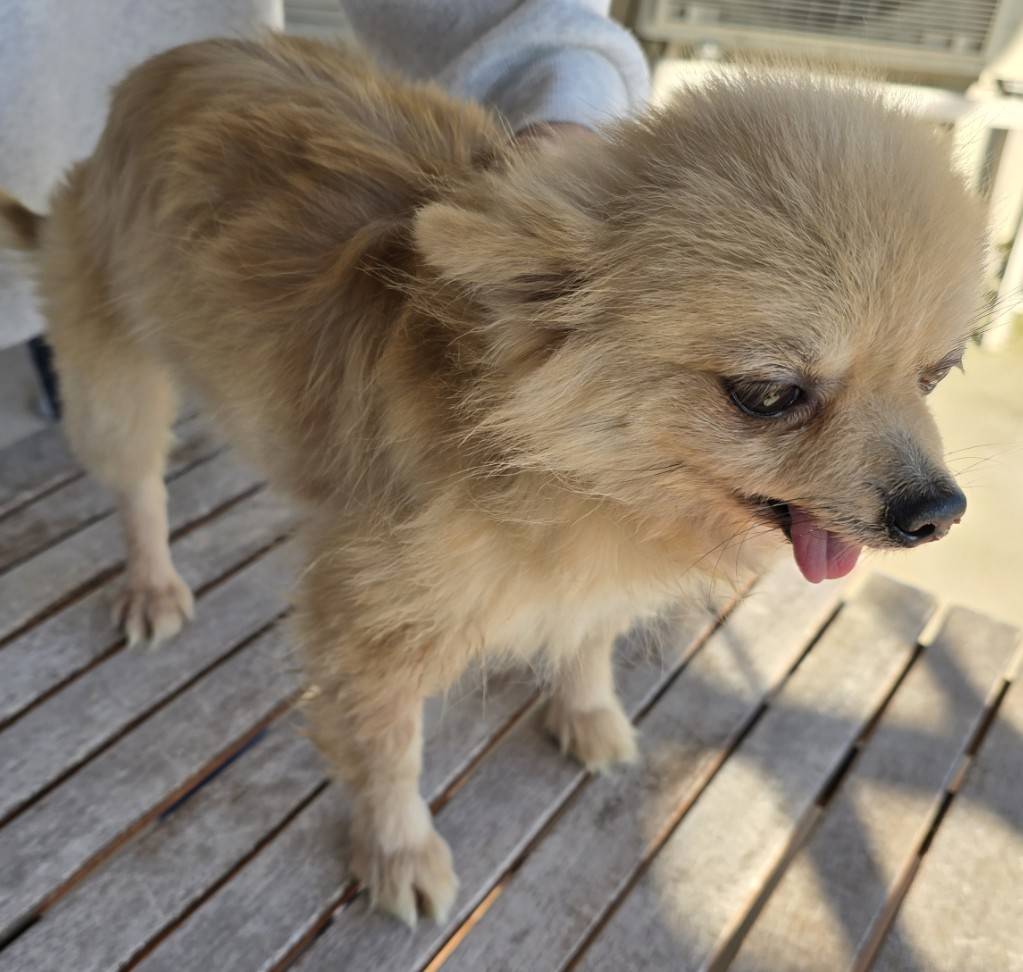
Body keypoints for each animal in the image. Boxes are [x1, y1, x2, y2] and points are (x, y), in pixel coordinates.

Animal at [1, 35, 986, 925]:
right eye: (771, 395)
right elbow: (387, 753)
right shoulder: (369, 624)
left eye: (936, 375)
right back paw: (153, 580)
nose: (937, 512)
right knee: (138, 485)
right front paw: (397, 852)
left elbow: (585, 643)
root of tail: (143, 86)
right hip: (114, 375)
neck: (568, 472)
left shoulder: (591, 581)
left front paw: (586, 711)